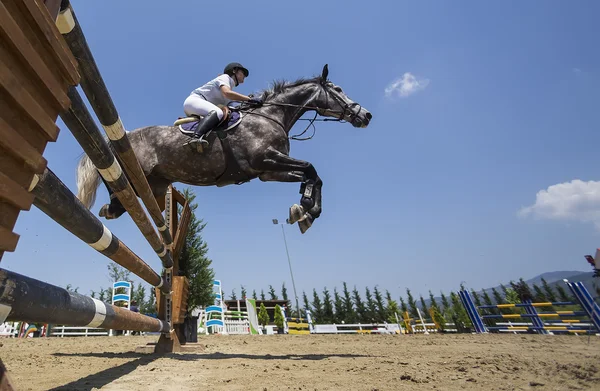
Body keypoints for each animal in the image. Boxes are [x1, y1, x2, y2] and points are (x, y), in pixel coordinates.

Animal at [76, 64, 370, 233]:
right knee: (114, 186)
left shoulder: (268, 171)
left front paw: (304, 210)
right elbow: (310, 168)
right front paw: (307, 207)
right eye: (338, 89)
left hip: (156, 185)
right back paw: (110, 207)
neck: (271, 115)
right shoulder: (266, 160)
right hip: (133, 174)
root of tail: (121, 138)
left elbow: (312, 176)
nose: (365, 115)